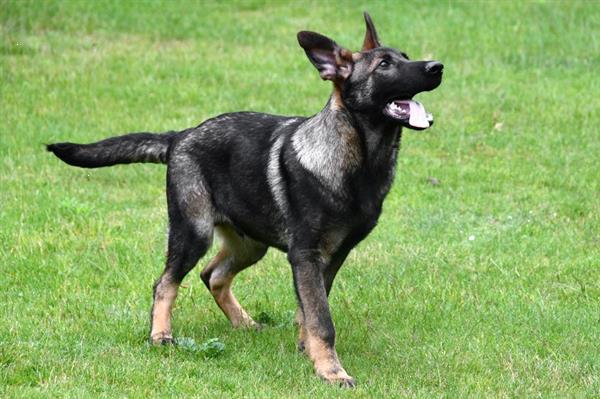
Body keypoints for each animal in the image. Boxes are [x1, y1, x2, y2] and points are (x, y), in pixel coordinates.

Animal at [45, 12, 440, 388]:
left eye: (405, 57)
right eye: (384, 65)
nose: (438, 67)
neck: (359, 159)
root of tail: (179, 137)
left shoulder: (332, 256)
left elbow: (310, 310)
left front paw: (307, 351)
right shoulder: (306, 255)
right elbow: (321, 318)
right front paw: (331, 371)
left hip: (250, 243)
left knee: (213, 275)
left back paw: (244, 322)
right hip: (194, 231)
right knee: (166, 283)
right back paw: (160, 335)